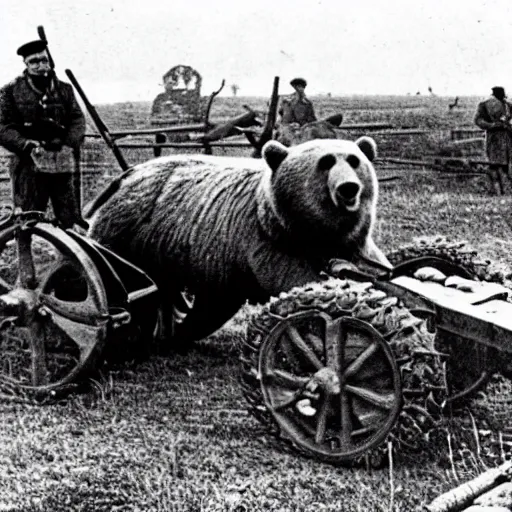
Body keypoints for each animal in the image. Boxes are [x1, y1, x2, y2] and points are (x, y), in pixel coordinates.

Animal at [88, 138, 390, 342]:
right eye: (325, 162)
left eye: (354, 160)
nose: (348, 188)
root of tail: (126, 175)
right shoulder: (266, 241)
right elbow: (298, 280)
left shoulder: (354, 244)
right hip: (130, 232)